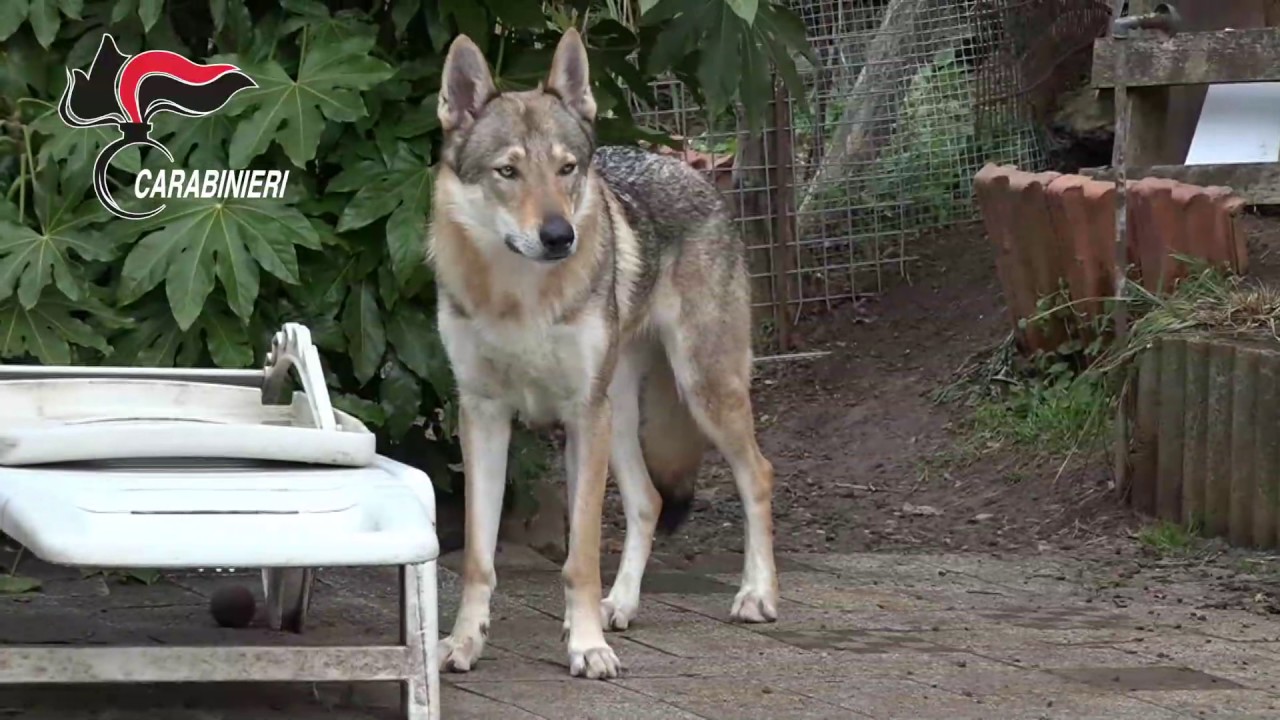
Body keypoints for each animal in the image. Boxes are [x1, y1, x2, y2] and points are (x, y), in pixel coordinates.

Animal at [427, 28, 778, 680]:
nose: (558, 236)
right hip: (618, 414)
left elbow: (581, 556)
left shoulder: (580, 415)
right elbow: (479, 558)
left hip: (699, 391)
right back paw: (620, 605)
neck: (521, 298)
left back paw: (756, 595)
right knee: (648, 501)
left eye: (566, 169)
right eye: (508, 171)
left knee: (757, 475)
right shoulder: (482, 415)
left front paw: (587, 648)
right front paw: (463, 644)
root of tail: (685, 165)